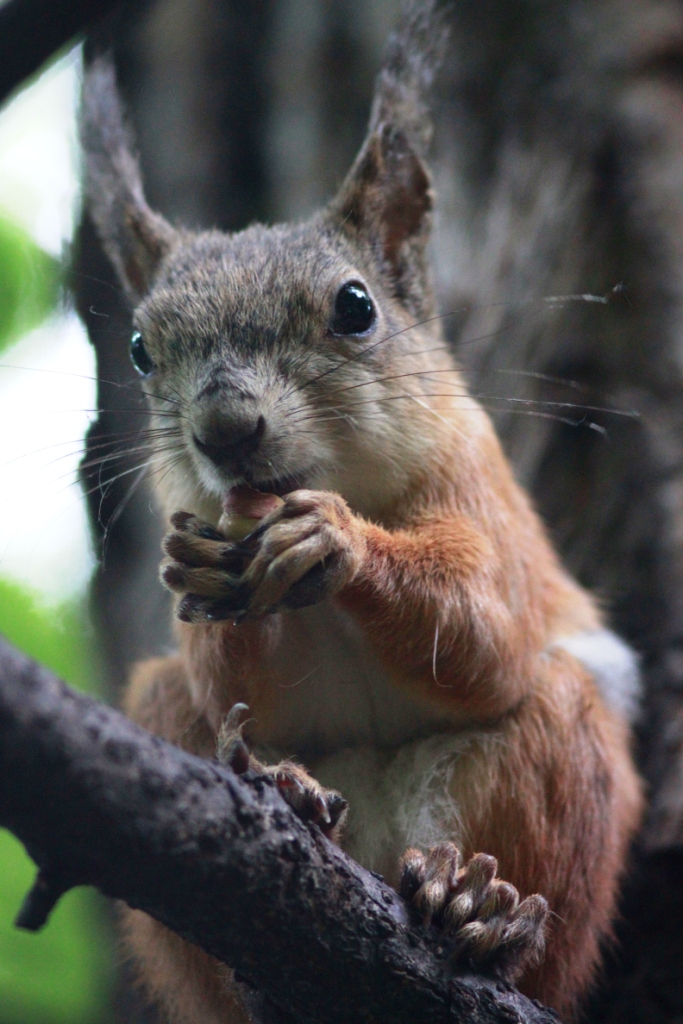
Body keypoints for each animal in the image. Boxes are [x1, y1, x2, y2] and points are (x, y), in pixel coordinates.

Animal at [82, 4, 643, 1019]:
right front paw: (209, 567)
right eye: (140, 348)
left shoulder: (481, 489)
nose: (225, 430)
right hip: (160, 712)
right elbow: (241, 676)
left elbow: (482, 629)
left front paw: (336, 538)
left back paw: (481, 916)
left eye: (356, 307)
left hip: (558, 747)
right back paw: (289, 802)